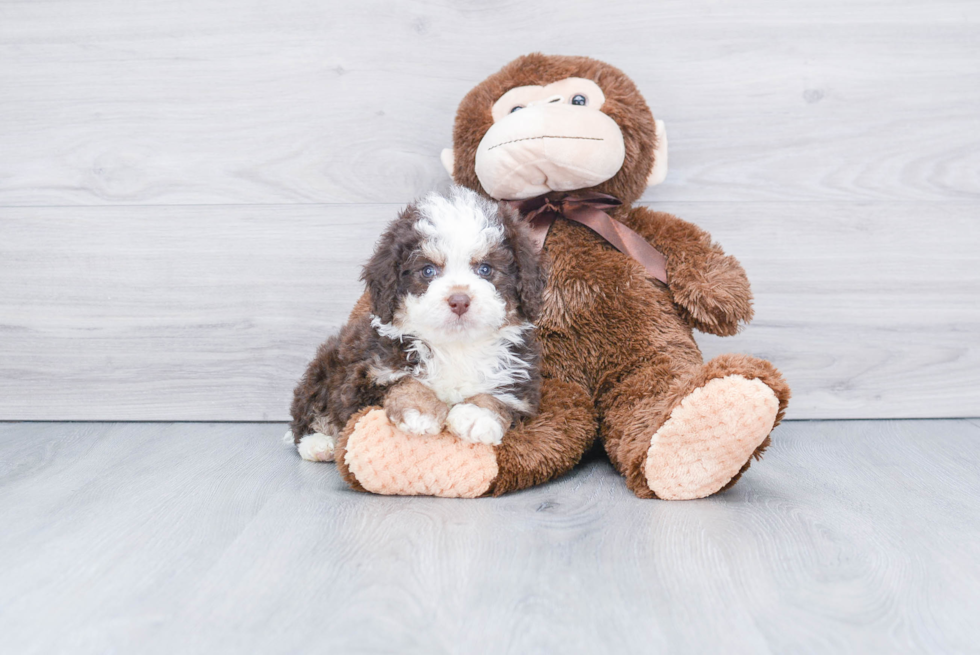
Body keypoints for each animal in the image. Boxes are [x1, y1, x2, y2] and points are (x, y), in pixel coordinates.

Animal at [288, 184, 548, 464]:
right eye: (427, 271)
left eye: (486, 269)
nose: (459, 300)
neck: (455, 347)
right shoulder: (365, 376)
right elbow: (405, 381)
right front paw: (419, 410)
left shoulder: (523, 385)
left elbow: (502, 397)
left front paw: (476, 415)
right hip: (322, 370)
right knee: (305, 414)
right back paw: (318, 443)